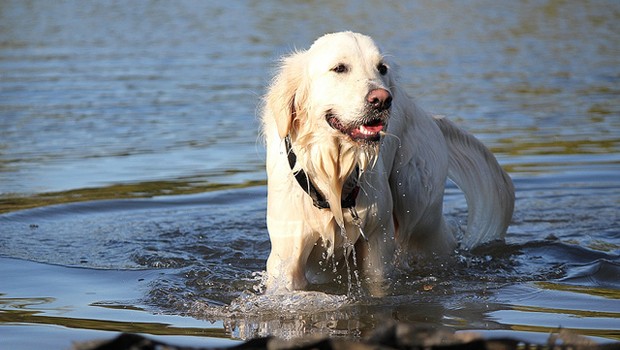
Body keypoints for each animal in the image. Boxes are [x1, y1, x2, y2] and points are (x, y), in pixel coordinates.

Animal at [260, 32, 512, 292]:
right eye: (339, 68)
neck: (333, 173)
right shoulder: (287, 255)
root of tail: (426, 114)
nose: (382, 99)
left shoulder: (377, 243)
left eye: (382, 68)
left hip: (420, 207)